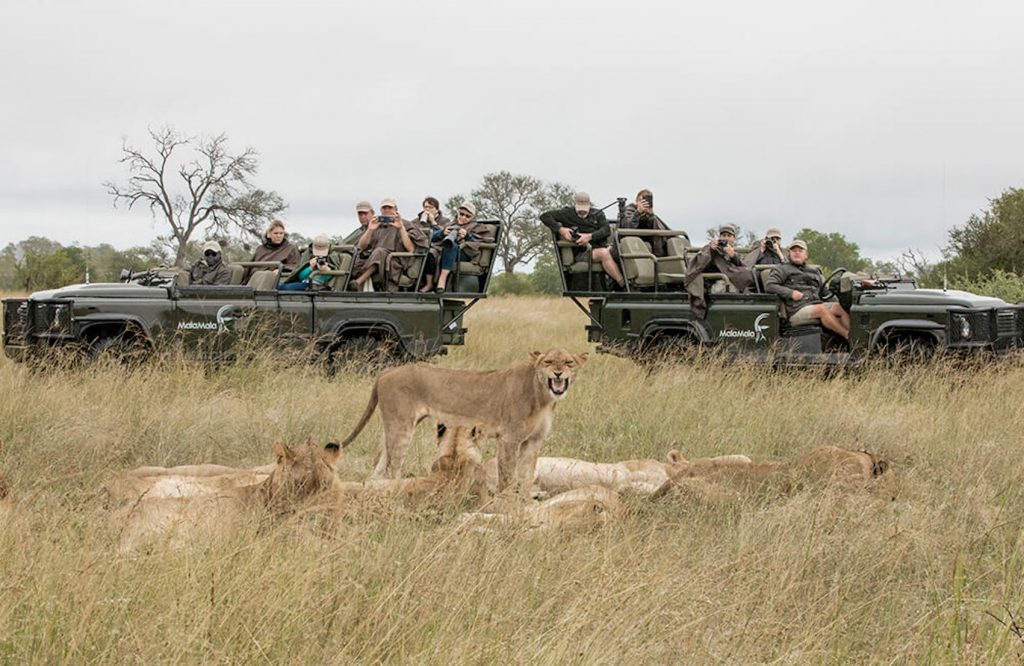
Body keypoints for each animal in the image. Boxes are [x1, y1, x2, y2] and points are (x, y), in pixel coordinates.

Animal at [339, 348, 587, 494]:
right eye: (548, 362)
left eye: (569, 362)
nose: (557, 373)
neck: (543, 396)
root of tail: (385, 373)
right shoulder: (509, 438)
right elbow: (507, 475)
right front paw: (506, 501)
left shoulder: (533, 441)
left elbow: (526, 476)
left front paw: (523, 502)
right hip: (401, 427)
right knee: (392, 468)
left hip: (392, 426)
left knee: (379, 464)